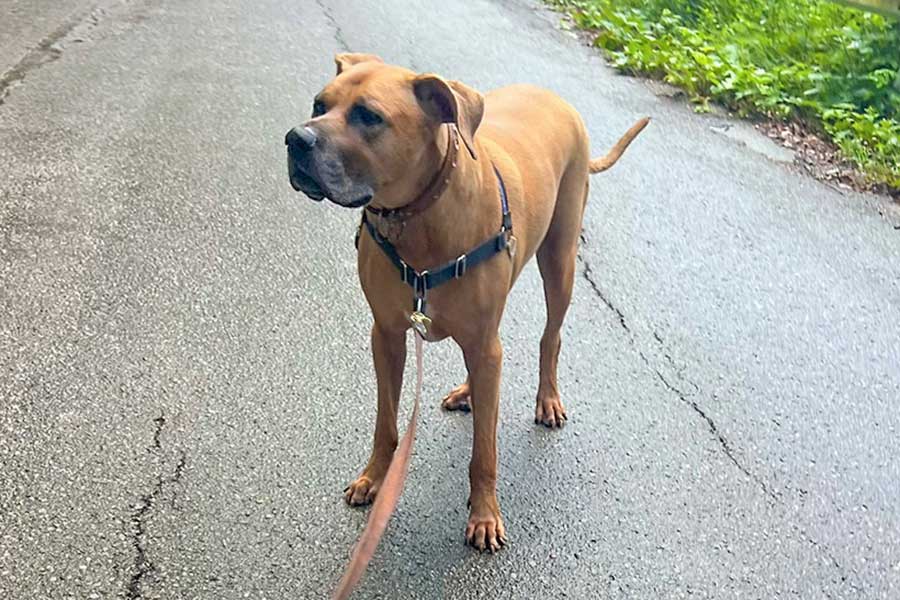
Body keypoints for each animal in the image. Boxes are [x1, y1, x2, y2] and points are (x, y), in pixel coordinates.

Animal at [288, 54, 648, 552]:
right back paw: (468, 391)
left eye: (369, 117)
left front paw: (484, 515)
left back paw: (547, 399)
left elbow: (484, 452)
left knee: (549, 336)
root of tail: (557, 100)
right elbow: (386, 422)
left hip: (560, 263)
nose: (295, 140)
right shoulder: (387, 334)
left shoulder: (482, 343)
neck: (419, 217)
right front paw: (375, 477)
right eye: (319, 105)